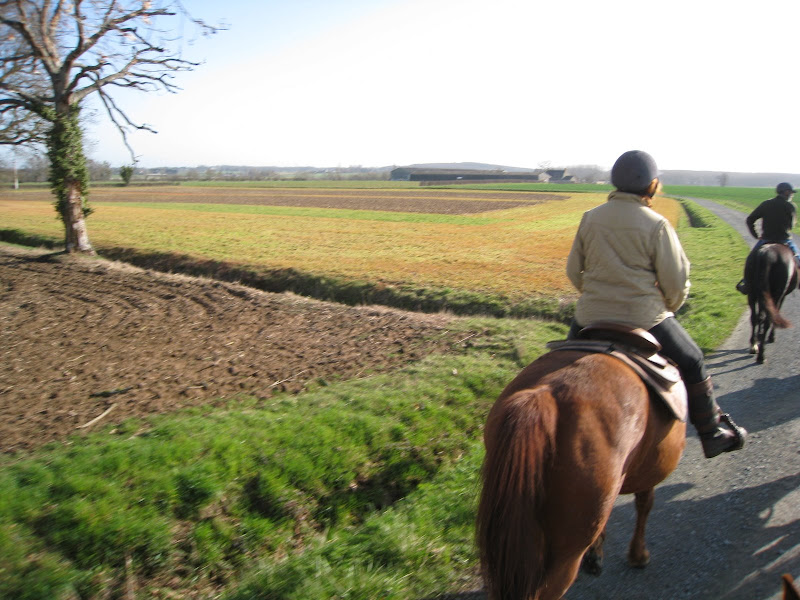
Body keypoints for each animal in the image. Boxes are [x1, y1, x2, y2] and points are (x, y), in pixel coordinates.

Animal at [476, 342, 686, 600]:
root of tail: (544, 395)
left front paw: (597, 554)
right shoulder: (647, 475)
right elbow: (645, 505)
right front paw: (638, 555)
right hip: (565, 555)